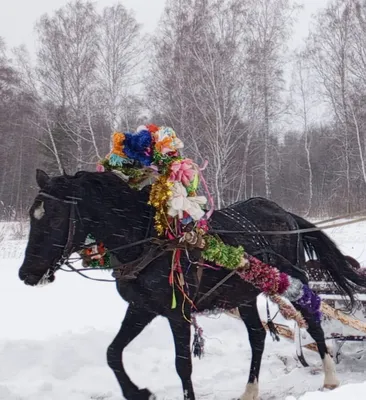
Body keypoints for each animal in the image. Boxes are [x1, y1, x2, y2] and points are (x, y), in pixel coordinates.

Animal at [17, 170, 366, 400]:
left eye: (55, 217)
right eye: (32, 216)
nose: (26, 273)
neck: (148, 238)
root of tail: (284, 214)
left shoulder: (178, 312)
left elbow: (182, 366)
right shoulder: (142, 307)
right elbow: (112, 352)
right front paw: (138, 392)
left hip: (291, 279)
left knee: (312, 318)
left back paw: (330, 377)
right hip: (244, 294)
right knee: (257, 336)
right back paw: (250, 390)